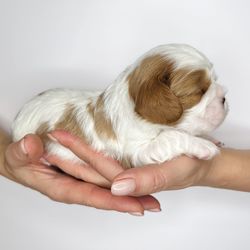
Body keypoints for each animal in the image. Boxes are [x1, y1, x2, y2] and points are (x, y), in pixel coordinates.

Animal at [11, 44, 229, 168]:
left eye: (215, 80)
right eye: (200, 92)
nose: (225, 98)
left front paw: (207, 139)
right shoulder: (138, 150)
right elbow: (171, 137)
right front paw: (203, 146)